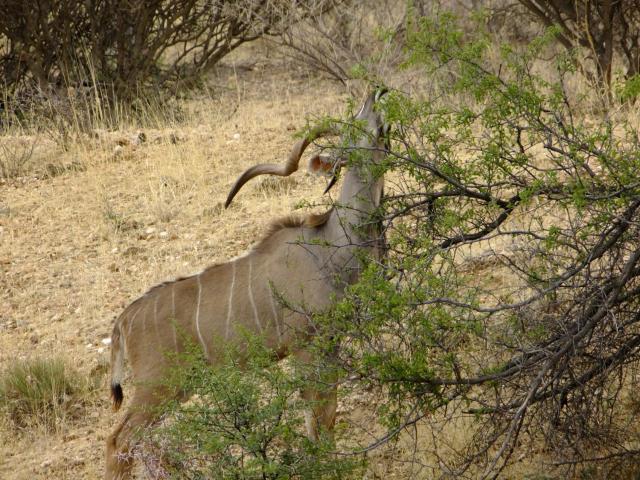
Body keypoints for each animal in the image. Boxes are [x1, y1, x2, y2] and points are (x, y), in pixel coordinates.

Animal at [105, 89, 388, 476]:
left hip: (176, 389)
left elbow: (326, 415)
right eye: (354, 126)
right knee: (119, 441)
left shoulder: (330, 342)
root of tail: (124, 320)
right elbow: (317, 416)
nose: (374, 94)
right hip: (157, 386)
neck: (331, 246)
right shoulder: (306, 346)